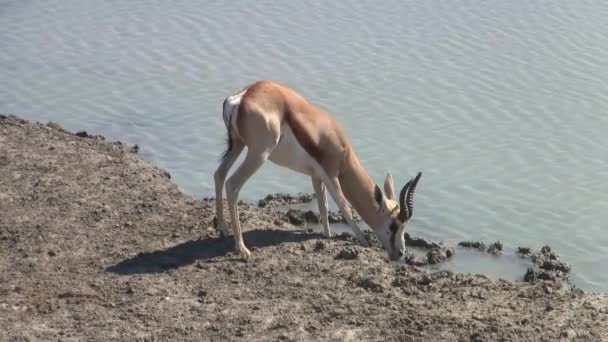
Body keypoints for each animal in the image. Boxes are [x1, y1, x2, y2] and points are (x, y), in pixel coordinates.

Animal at [215, 81, 422, 262]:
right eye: (393, 225)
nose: (400, 253)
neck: (342, 150)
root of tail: (241, 98)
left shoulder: (316, 176)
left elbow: (323, 206)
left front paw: (328, 236)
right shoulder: (331, 175)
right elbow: (344, 206)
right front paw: (364, 242)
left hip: (238, 145)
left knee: (219, 174)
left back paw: (222, 229)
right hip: (258, 154)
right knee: (232, 185)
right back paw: (242, 248)